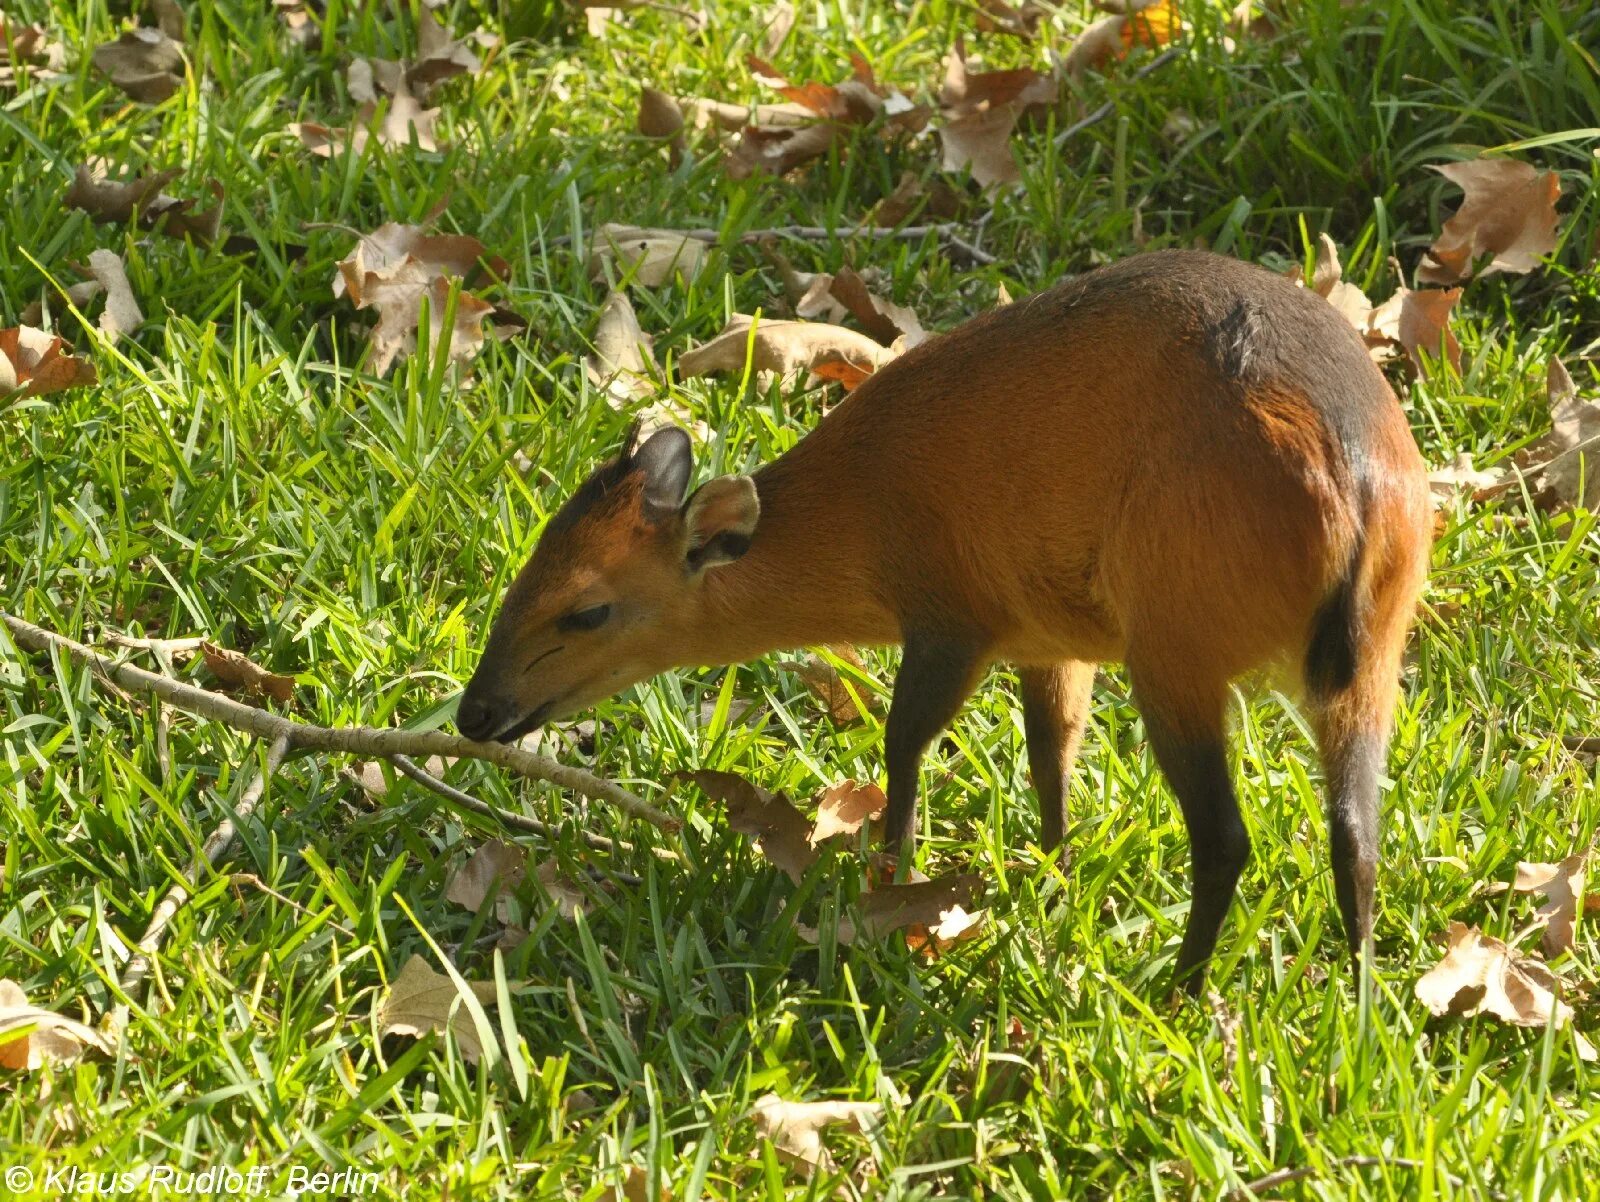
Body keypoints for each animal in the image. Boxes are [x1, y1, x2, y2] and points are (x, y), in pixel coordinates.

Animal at [460, 249, 1427, 992]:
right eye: (526, 570)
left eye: (587, 610)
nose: (474, 712)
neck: (860, 513)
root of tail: (1351, 475)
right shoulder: (1051, 638)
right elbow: (1051, 756)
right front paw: (1051, 876)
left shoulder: (951, 615)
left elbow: (903, 744)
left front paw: (891, 878)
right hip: (1375, 649)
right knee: (1356, 832)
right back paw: (1359, 990)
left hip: (1175, 643)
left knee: (1226, 837)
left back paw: (1182, 988)